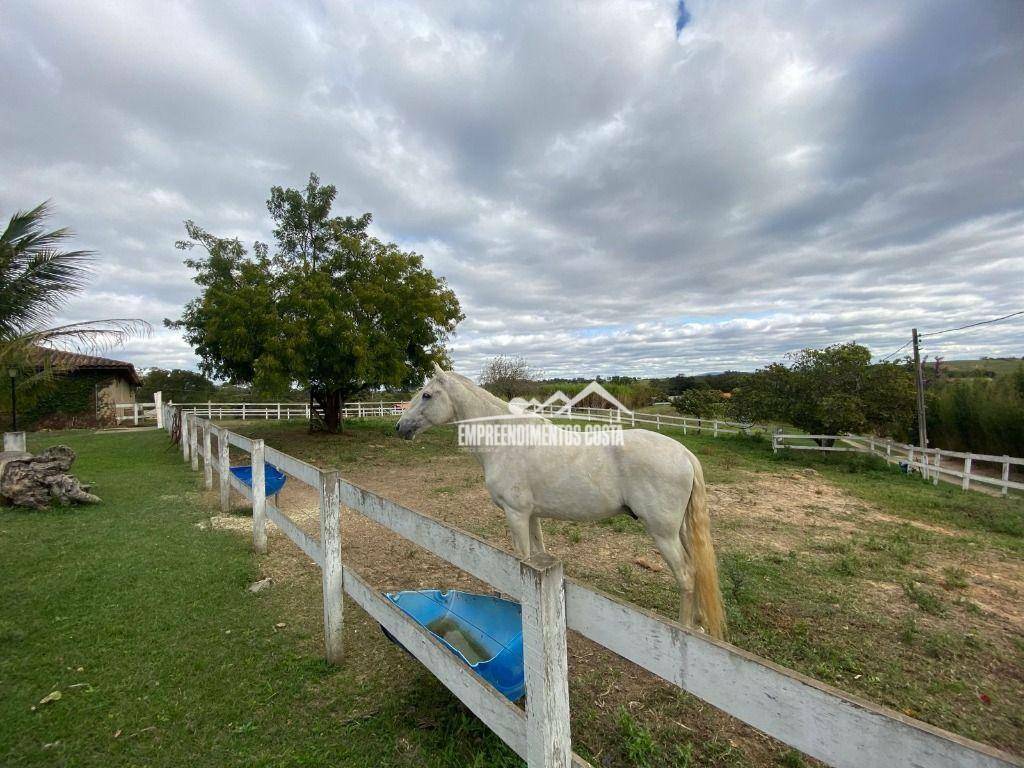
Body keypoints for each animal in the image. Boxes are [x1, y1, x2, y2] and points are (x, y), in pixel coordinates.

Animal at [393, 364, 729, 638]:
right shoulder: (531, 516)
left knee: (686, 576)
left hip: (663, 533)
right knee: (696, 570)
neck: (506, 442)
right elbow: (538, 553)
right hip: (679, 531)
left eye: (426, 395)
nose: (400, 427)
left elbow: (522, 558)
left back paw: (686, 631)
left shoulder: (516, 515)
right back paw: (699, 625)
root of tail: (683, 453)